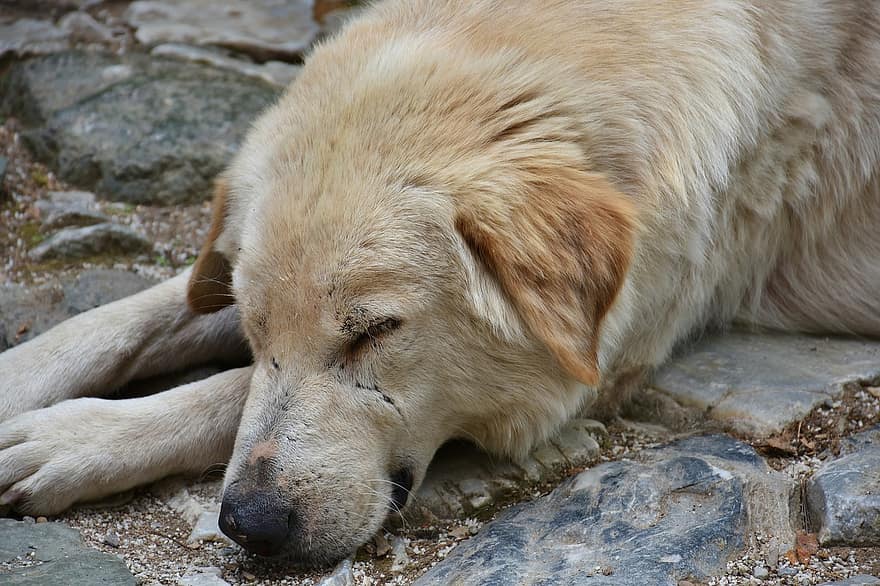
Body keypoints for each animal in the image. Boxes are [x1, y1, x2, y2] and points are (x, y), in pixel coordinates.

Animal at [1, 0, 880, 564]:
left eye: (375, 331)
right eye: (254, 330)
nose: (246, 525)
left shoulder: (620, 349)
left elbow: (215, 398)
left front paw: (75, 438)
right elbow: (133, 316)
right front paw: (23, 383)